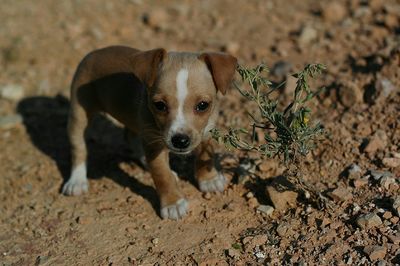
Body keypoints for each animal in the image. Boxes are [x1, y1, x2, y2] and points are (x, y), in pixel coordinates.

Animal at [63, 46, 238, 220]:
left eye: (203, 105)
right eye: (159, 105)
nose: (180, 141)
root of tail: (94, 52)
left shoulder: (206, 132)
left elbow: (204, 155)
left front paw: (209, 179)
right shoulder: (155, 144)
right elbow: (162, 175)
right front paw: (173, 203)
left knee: (131, 137)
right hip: (78, 115)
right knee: (78, 147)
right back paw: (76, 181)